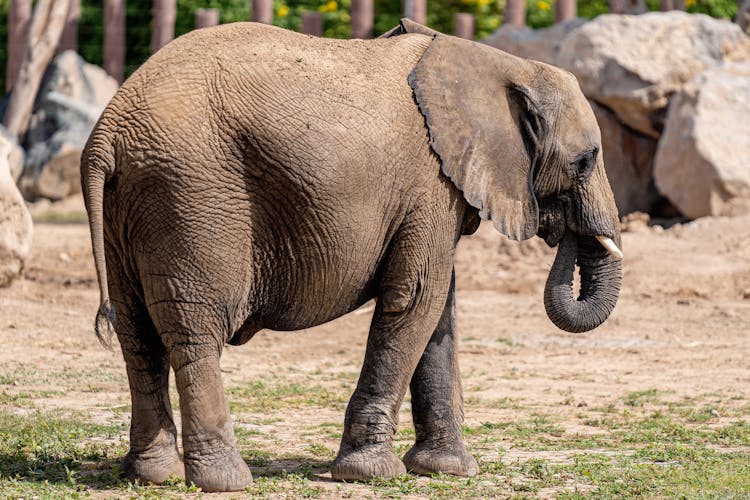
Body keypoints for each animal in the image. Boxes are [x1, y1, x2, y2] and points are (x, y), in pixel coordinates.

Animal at [81, 18, 624, 492]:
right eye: (586, 161)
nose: (560, 228)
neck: (502, 63)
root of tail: (109, 130)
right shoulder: (431, 183)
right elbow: (417, 299)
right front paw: (371, 474)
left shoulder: (437, 192)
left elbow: (438, 311)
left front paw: (448, 471)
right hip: (193, 197)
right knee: (196, 332)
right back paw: (226, 482)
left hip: (132, 207)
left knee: (136, 333)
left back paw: (153, 477)